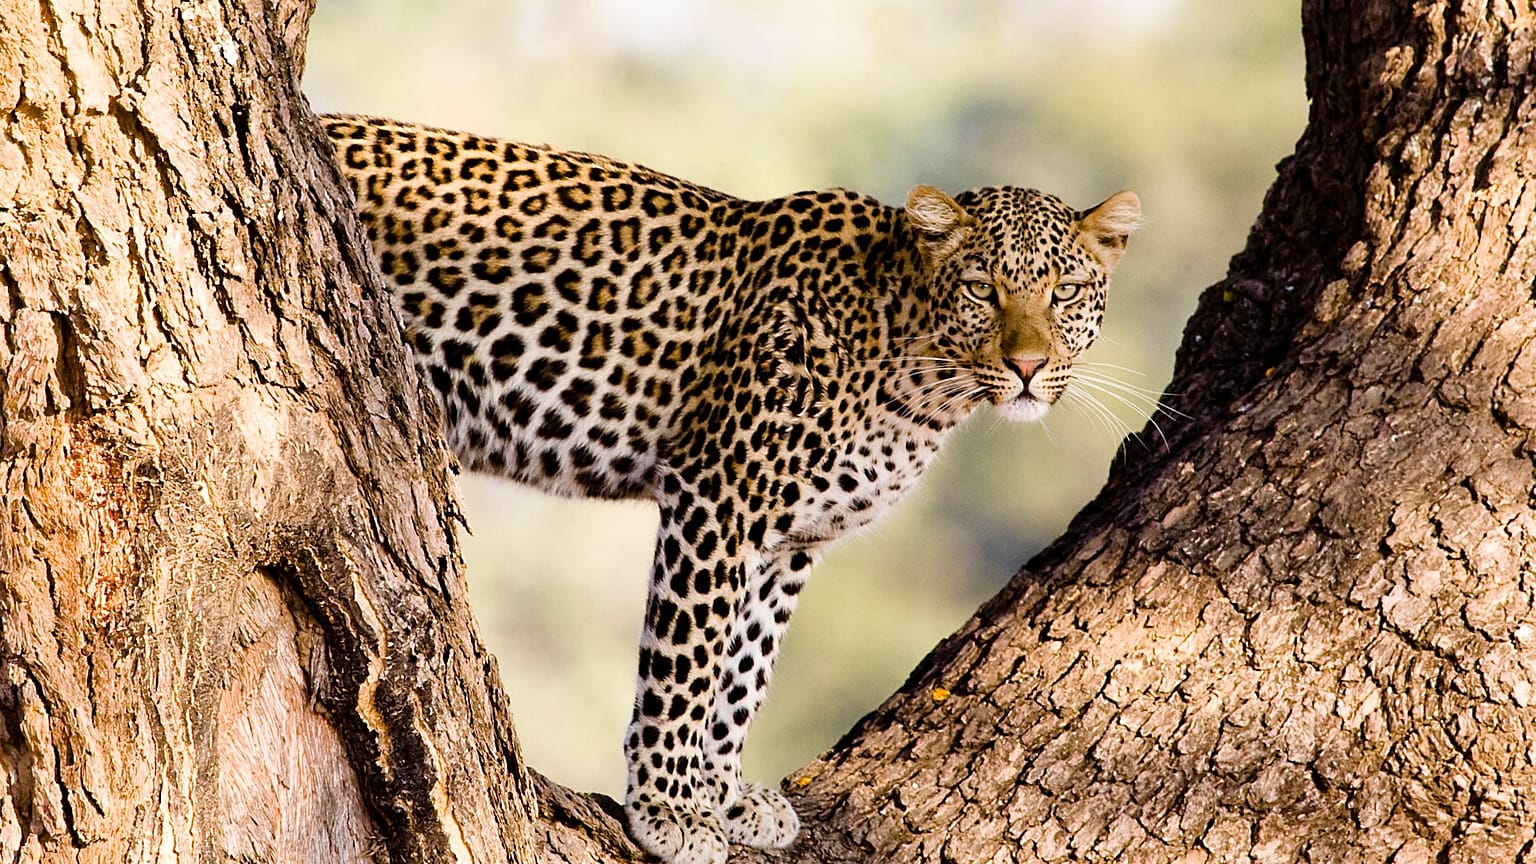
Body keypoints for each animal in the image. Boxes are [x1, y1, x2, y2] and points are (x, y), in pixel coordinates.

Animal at [322, 113, 1140, 864]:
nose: (1030, 366)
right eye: (980, 289)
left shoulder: (791, 540)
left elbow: (745, 667)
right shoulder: (718, 496)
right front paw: (671, 808)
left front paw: (725, 795)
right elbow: (688, 660)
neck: (918, 381)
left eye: (1066, 292)